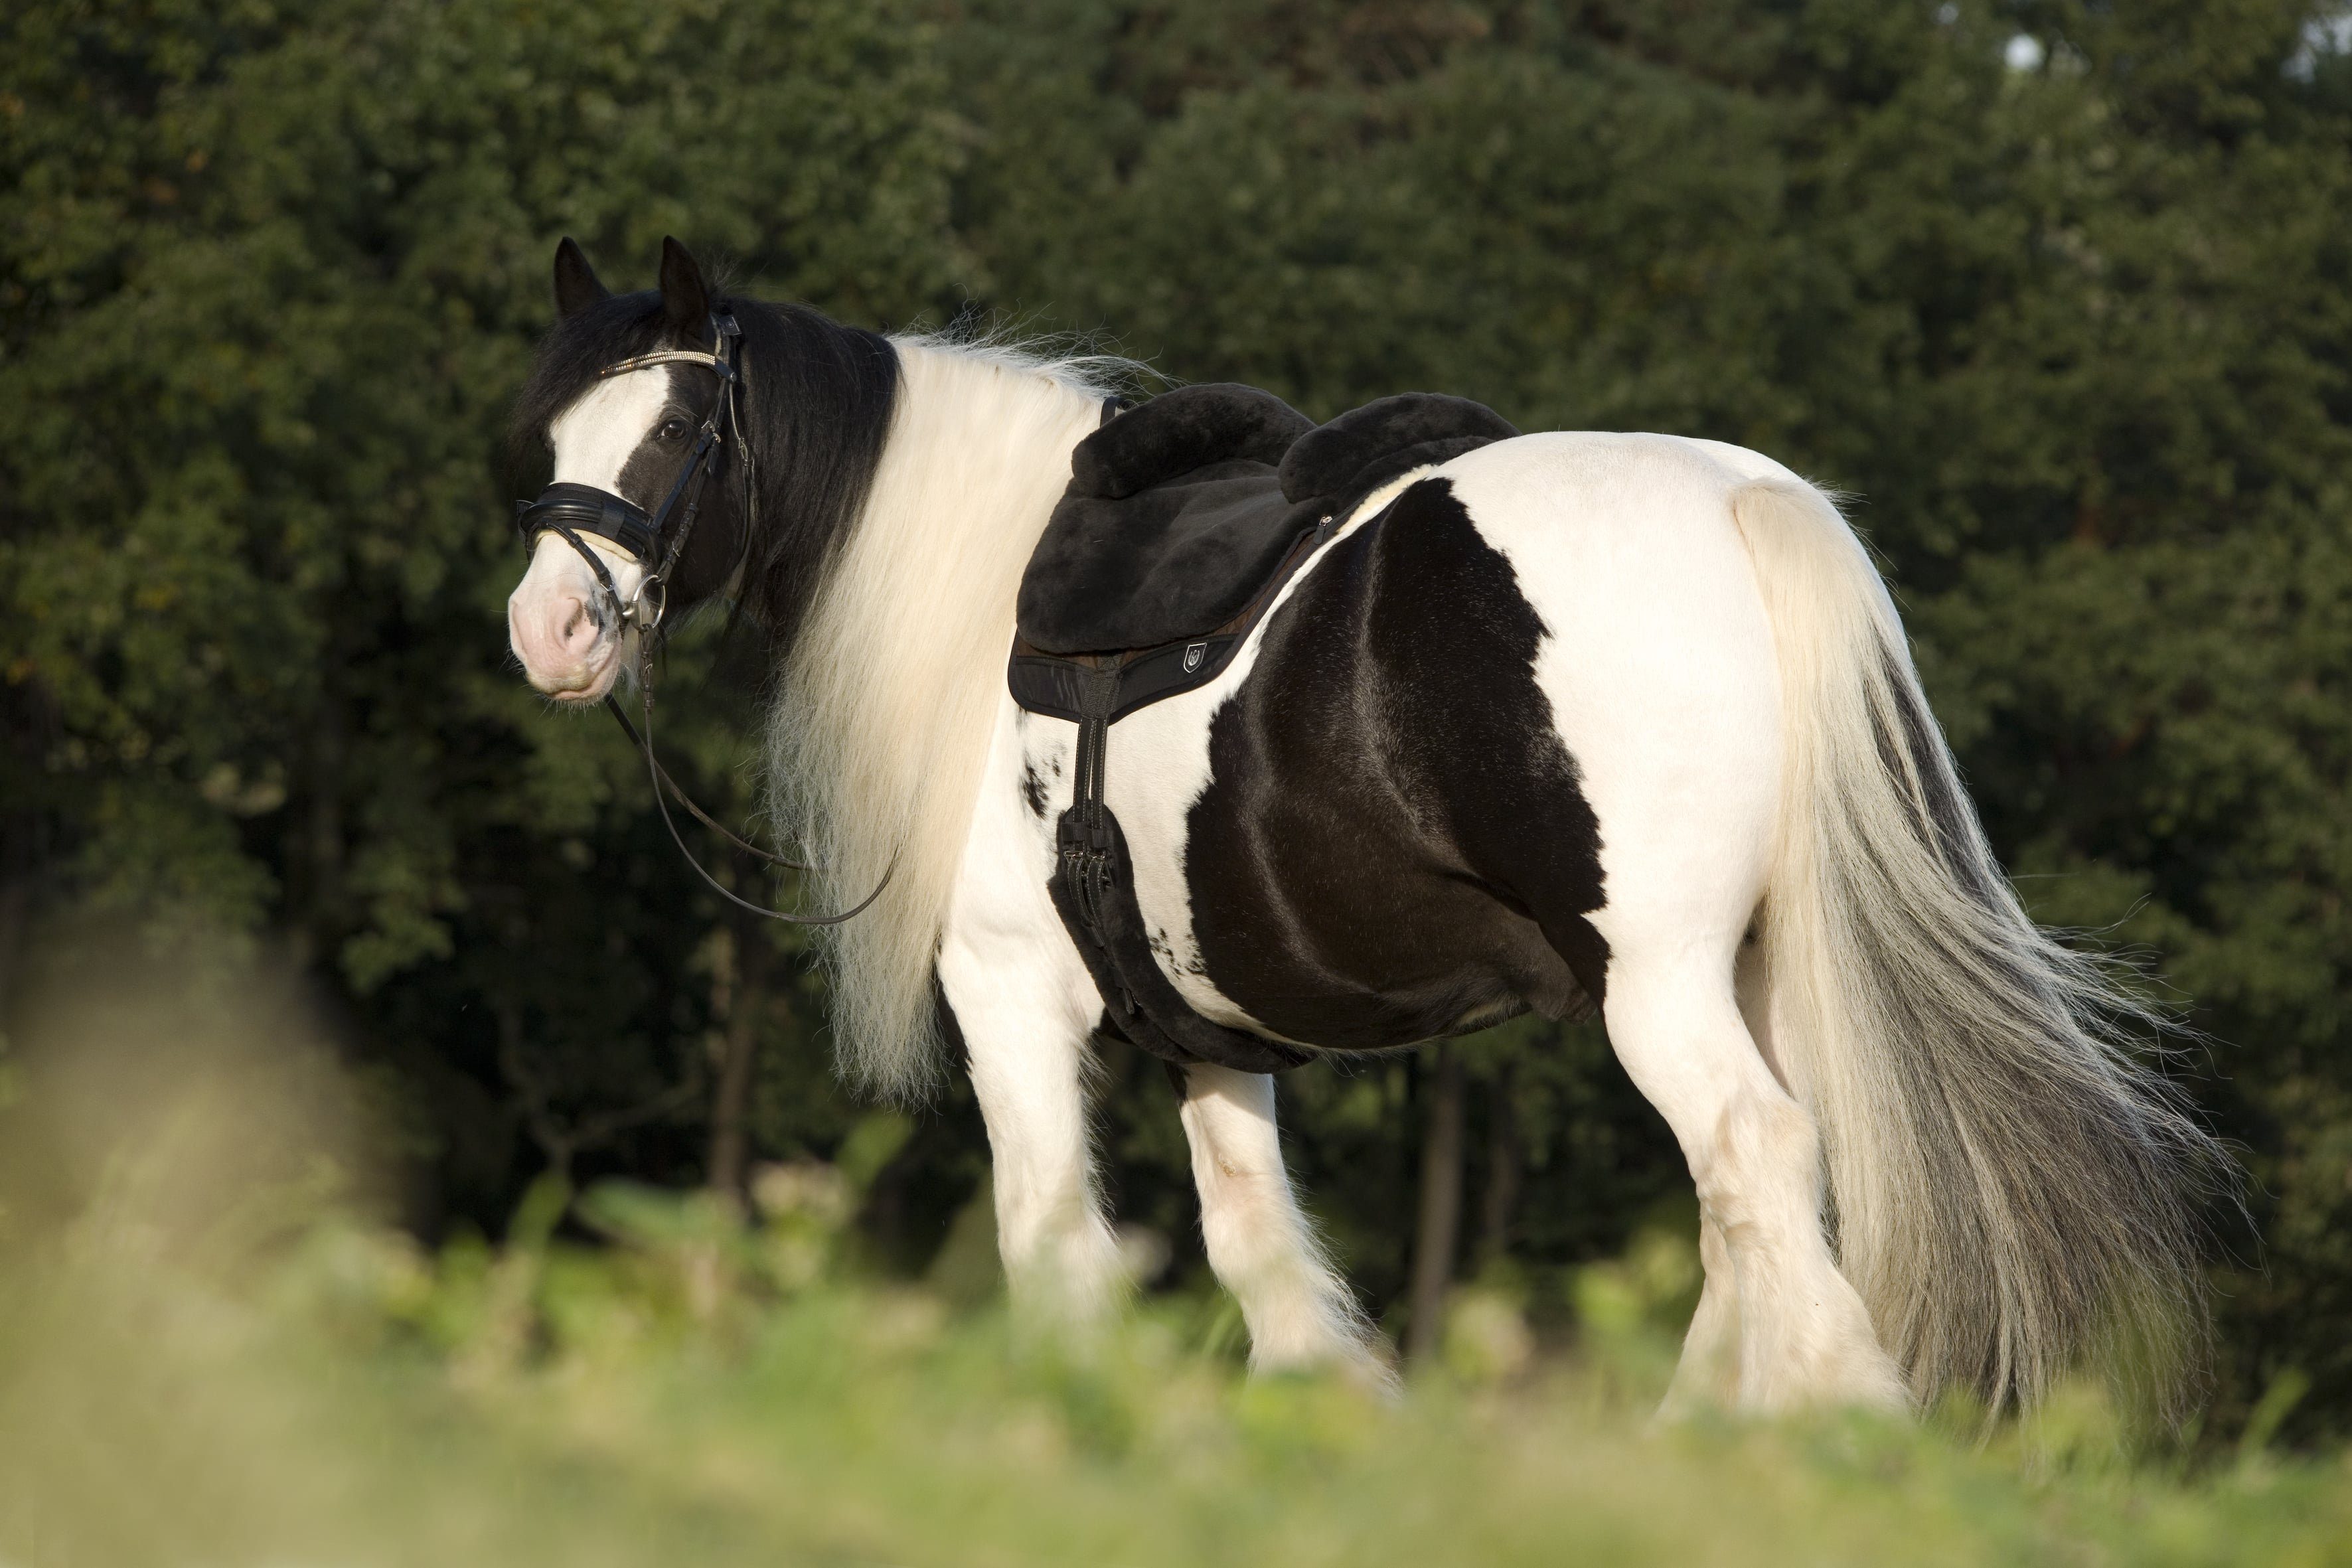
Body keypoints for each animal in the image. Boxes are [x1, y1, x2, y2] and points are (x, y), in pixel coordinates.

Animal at [505, 236, 2219, 1417]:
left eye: (677, 434)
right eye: (546, 441)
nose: (548, 633)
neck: (991, 599)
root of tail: (1747, 504)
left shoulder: (1009, 992)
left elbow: (1048, 1237)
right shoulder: (1205, 1034)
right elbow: (1254, 1241)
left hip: (1661, 981)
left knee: (1753, 1156)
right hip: (1762, 968)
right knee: (1761, 1200)